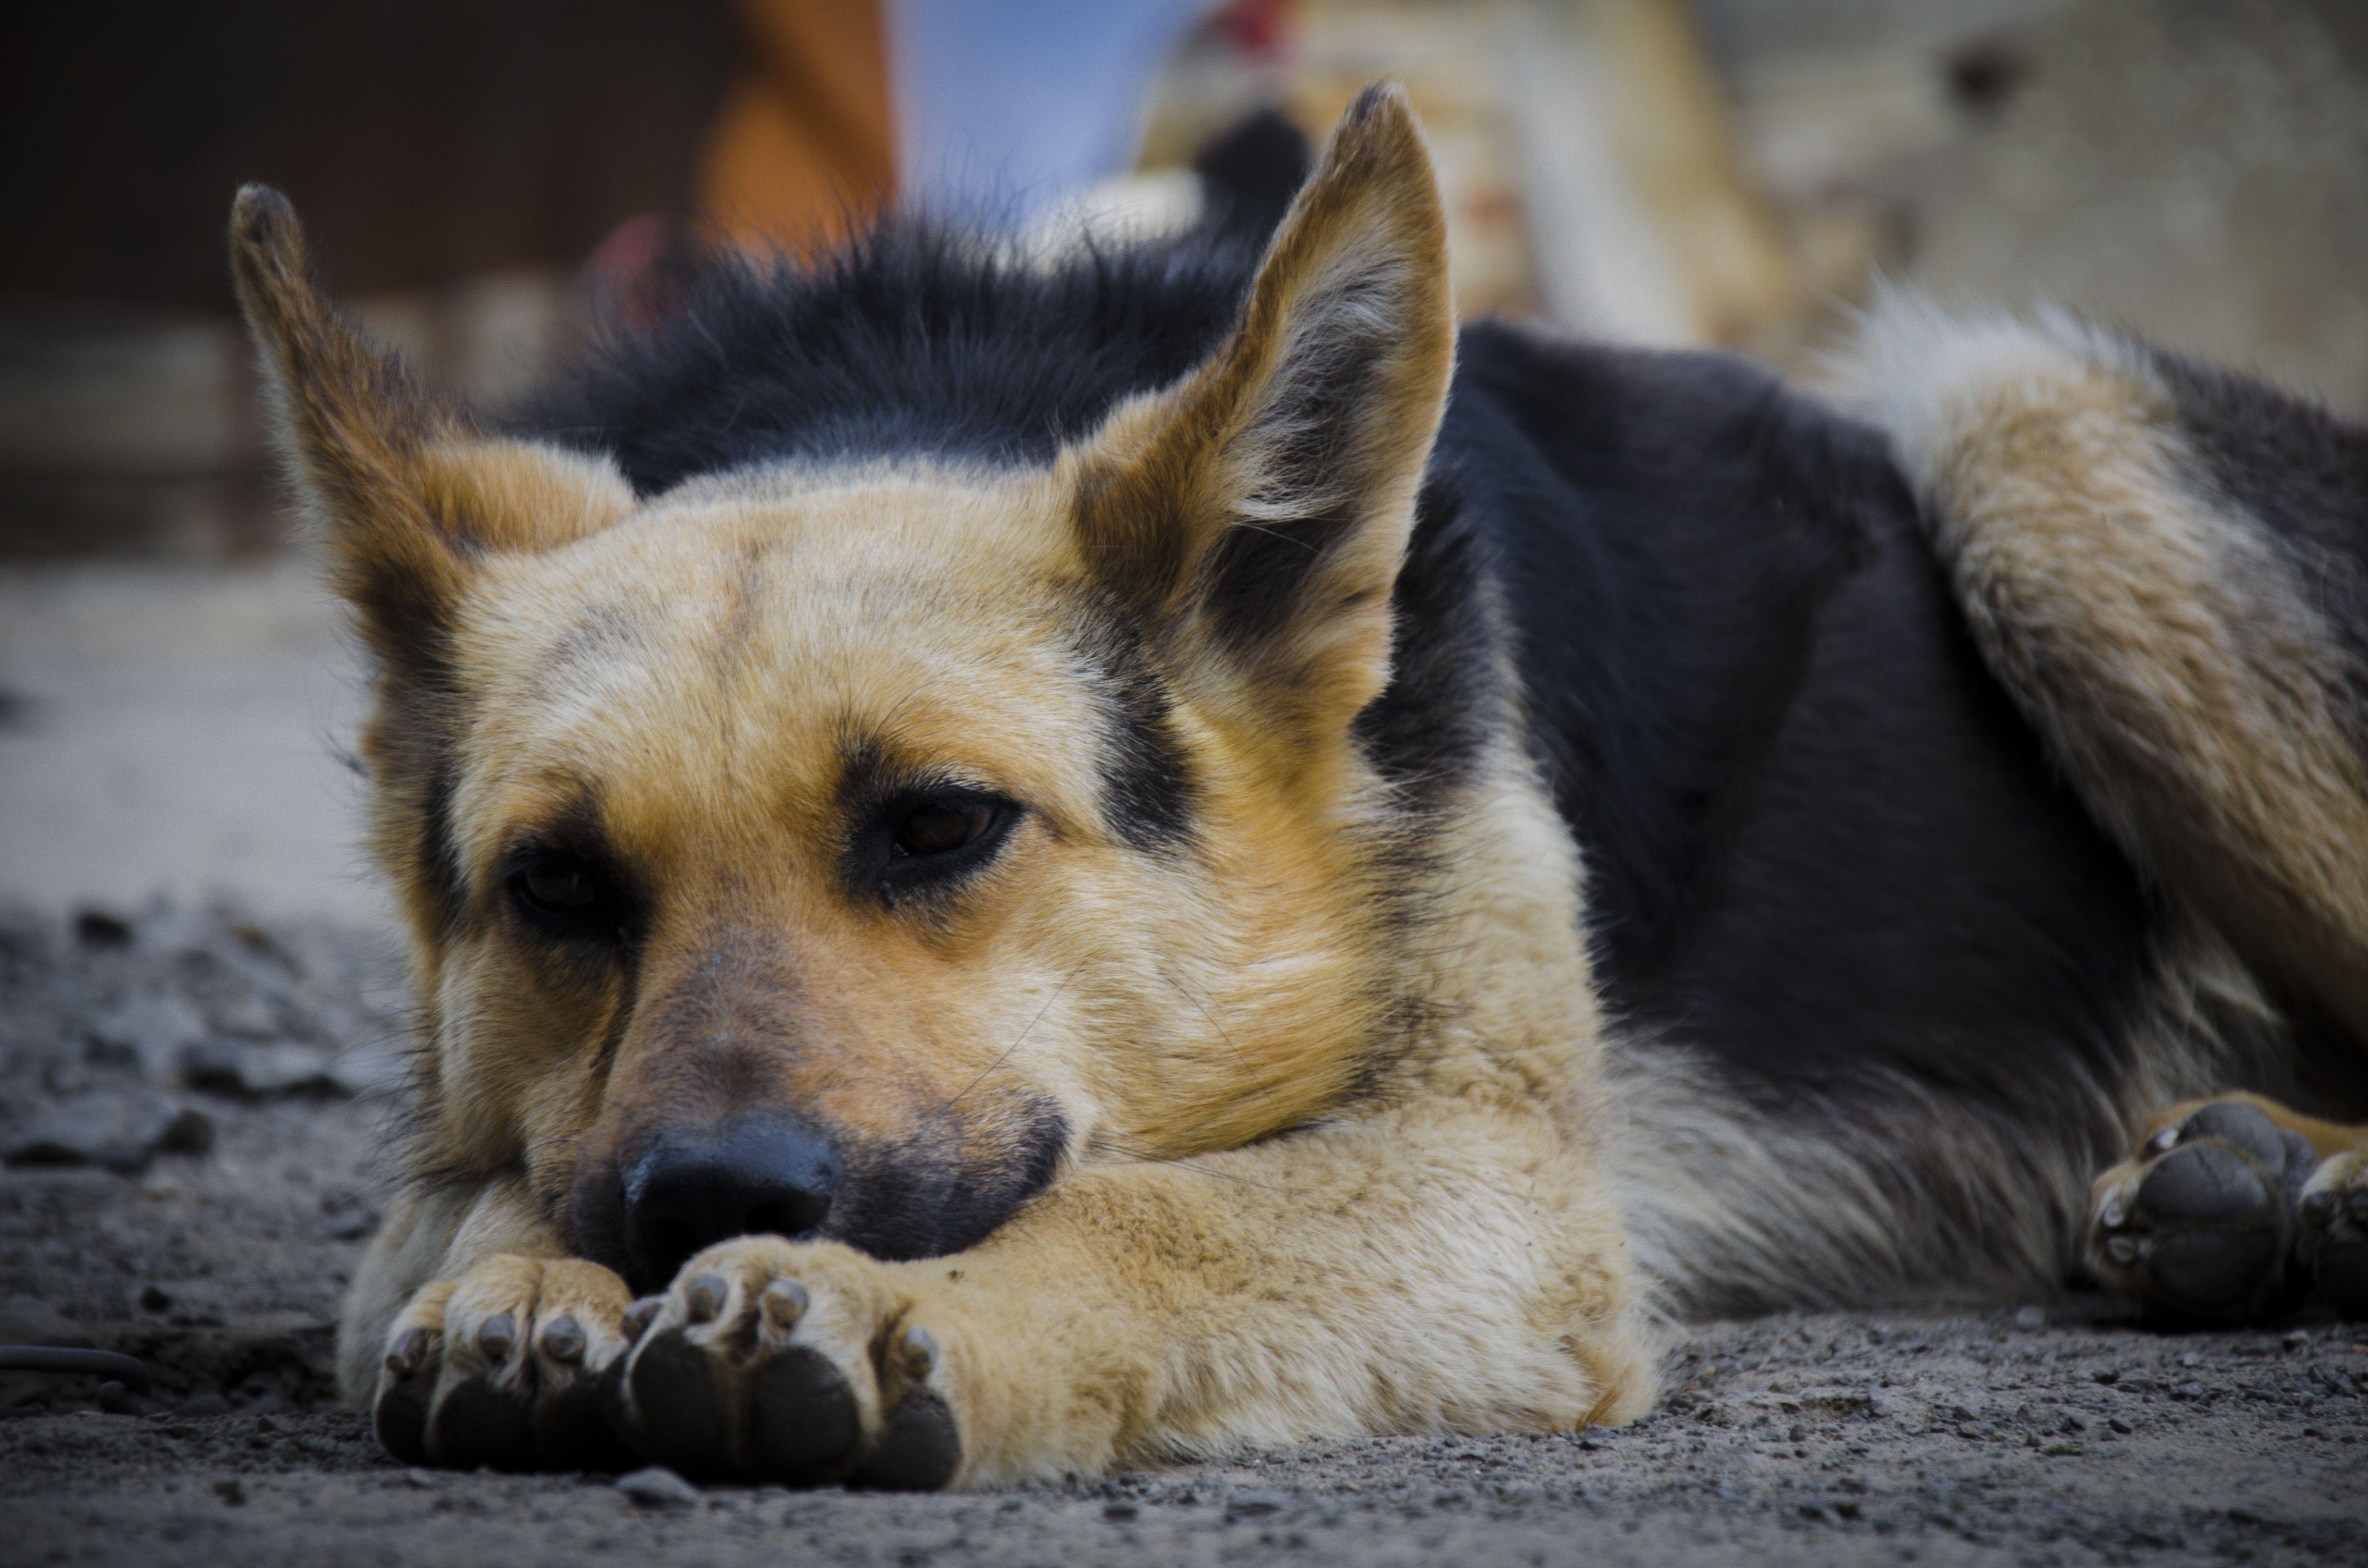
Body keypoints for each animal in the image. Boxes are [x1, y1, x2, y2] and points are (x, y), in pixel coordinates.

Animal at [226, 92, 2368, 1497]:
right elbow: (474, 1193)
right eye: (556, 887)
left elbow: (1148, 1213)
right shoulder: (469, 1152)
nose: (705, 1206)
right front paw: (521, 1290)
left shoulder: (1490, 1185)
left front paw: (870, 1308)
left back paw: (2307, 1184)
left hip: (2019, 424)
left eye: (940, 824)